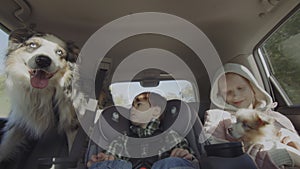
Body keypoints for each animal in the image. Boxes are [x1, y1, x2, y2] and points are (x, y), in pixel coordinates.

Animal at [0, 28, 84, 161]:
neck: (40, 93)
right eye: (32, 45)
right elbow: (5, 146)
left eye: (59, 52)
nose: (43, 60)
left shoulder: (73, 123)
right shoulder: (20, 120)